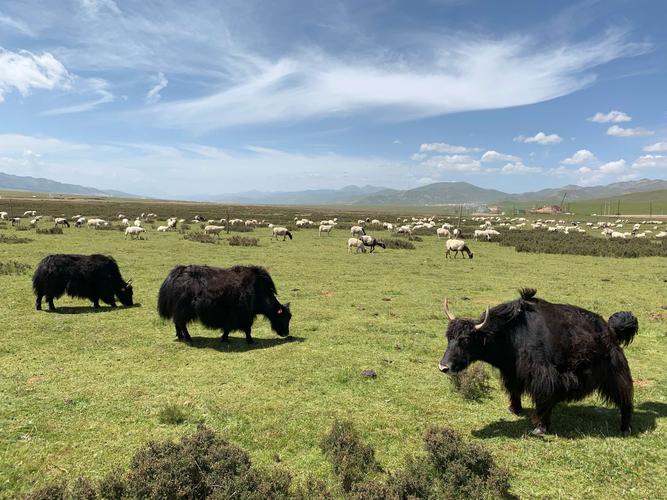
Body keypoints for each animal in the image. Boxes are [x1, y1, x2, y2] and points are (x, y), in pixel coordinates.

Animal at [158, 266, 294, 344]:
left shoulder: (234, 316)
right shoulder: (244, 314)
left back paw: (181, 337)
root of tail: (176, 274)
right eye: (282, 317)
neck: (257, 290)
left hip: (179, 310)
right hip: (184, 310)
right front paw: (250, 341)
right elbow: (247, 328)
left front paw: (224, 338)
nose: (286, 333)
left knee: (177, 322)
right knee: (181, 323)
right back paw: (188, 338)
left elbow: (228, 328)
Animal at [438, 290, 636, 438]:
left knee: (625, 398)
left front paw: (540, 428)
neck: (510, 335)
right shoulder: (512, 371)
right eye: (449, 337)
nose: (443, 367)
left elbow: (544, 397)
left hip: (615, 373)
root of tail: (610, 328)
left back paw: (625, 428)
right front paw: (514, 409)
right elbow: (514, 390)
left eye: (465, 340)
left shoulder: (543, 374)